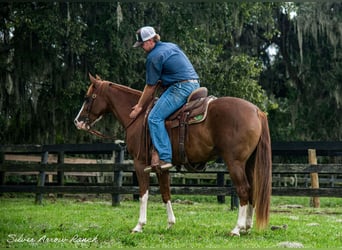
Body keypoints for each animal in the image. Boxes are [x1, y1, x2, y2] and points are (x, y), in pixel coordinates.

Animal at [75, 73, 272, 236]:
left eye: (87, 98)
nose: (77, 121)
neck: (138, 118)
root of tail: (257, 111)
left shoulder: (140, 163)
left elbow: (143, 193)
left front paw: (139, 225)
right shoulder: (162, 167)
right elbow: (165, 193)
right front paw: (170, 223)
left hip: (235, 162)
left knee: (243, 189)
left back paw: (237, 228)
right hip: (248, 163)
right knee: (252, 189)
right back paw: (247, 226)